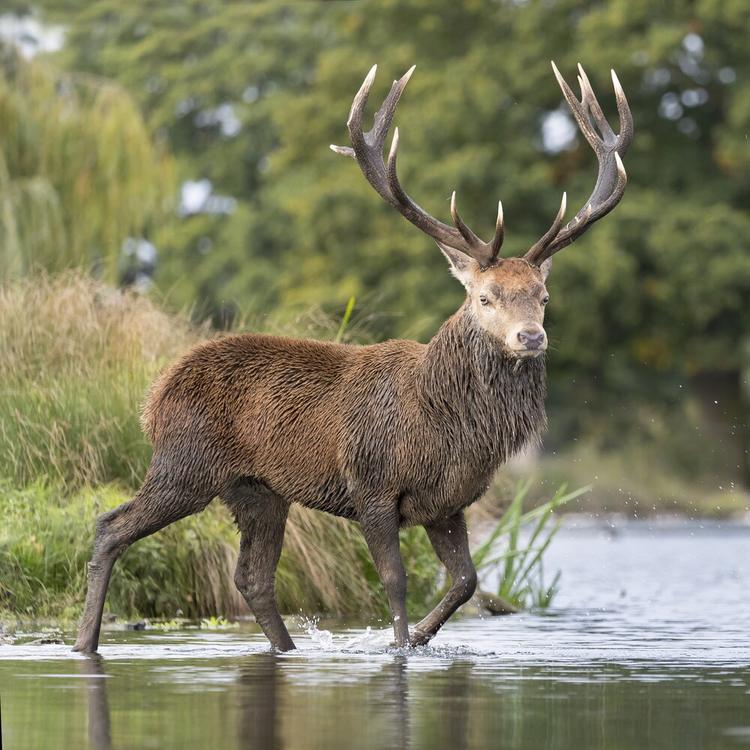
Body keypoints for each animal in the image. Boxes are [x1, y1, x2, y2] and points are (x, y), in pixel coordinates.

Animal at [73, 61, 632, 654]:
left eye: (543, 297)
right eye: (486, 297)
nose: (530, 337)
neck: (448, 427)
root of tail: (155, 395)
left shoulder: (448, 502)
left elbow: (465, 582)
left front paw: (418, 639)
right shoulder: (372, 484)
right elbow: (395, 579)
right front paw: (397, 646)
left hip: (257, 490)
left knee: (252, 575)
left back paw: (286, 649)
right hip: (186, 464)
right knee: (111, 525)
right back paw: (85, 642)